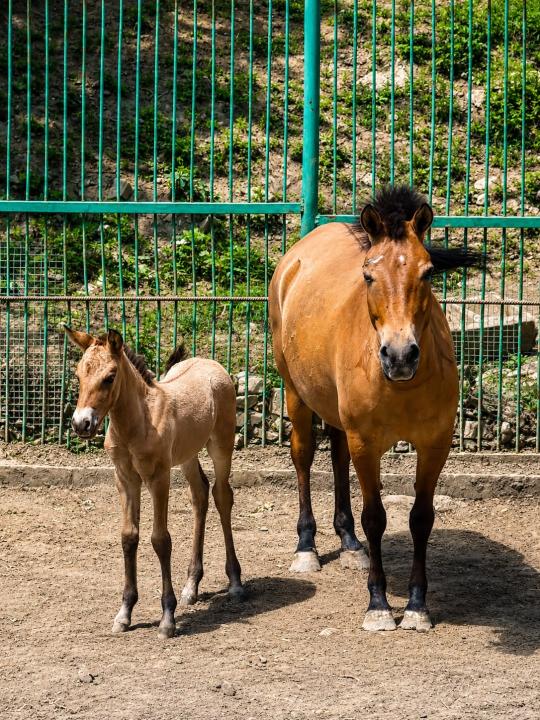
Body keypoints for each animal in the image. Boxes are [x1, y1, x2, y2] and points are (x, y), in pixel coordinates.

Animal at [65, 327, 243, 639]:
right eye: (77, 375)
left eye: (109, 377)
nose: (81, 424)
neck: (137, 423)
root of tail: (211, 363)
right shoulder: (125, 479)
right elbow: (128, 537)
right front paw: (124, 613)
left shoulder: (158, 478)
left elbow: (160, 540)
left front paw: (167, 618)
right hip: (187, 455)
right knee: (200, 494)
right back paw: (191, 586)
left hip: (221, 446)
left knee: (222, 495)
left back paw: (234, 582)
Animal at [269, 185, 484, 632]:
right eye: (368, 275)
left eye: (427, 272)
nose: (399, 355)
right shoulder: (366, 444)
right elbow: (376, 518)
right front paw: (379, 604)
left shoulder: (435, 444)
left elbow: (421, 518)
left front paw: (417, 606)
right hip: (296, 393)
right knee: (303, 457)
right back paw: (306, 546)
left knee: (336, 457)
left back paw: (350, 542)